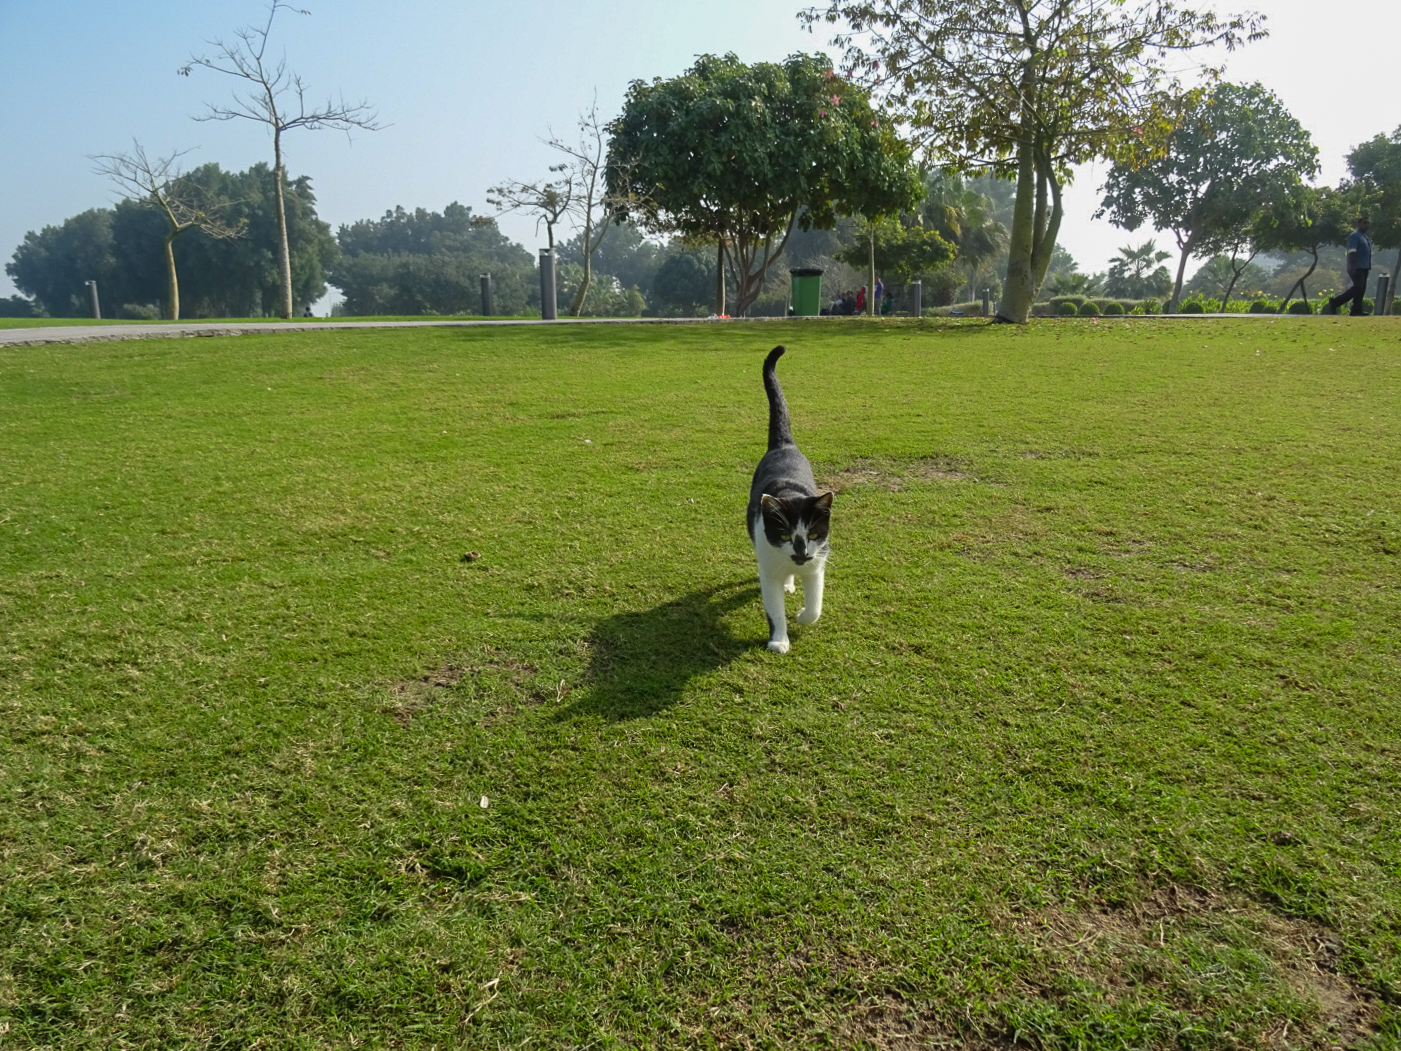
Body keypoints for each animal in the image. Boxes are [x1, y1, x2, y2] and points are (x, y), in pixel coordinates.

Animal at [745, 346, 829, 655]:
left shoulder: (818, 562)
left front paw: (803, 616)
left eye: (814, 533)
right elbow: (774, 610)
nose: (801, 554)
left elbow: (816, 606)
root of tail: (783, 445)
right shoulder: (768, 570)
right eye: (783, 535)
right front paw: (779, 640)